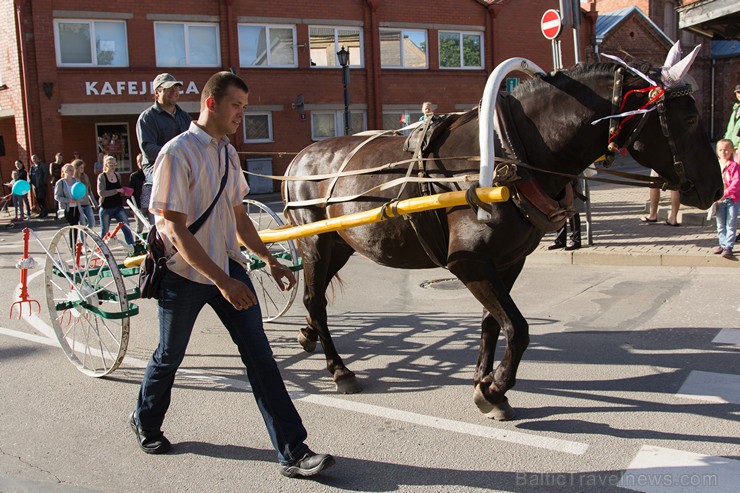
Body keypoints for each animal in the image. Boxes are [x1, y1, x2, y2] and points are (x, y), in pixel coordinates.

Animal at [284, 51, 724, 418]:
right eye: (687, 118)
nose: (716, 190)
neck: (510, 155)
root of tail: (298, 157)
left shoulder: (508, 262)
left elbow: (493, 324)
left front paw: (484, 381)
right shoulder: (470, 263)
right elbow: (519, 327)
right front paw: (495, 389)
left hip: (340, 244)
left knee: (315, 299)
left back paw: (307, 335)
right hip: (315, 243)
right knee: (314, 300)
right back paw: (339, 369)